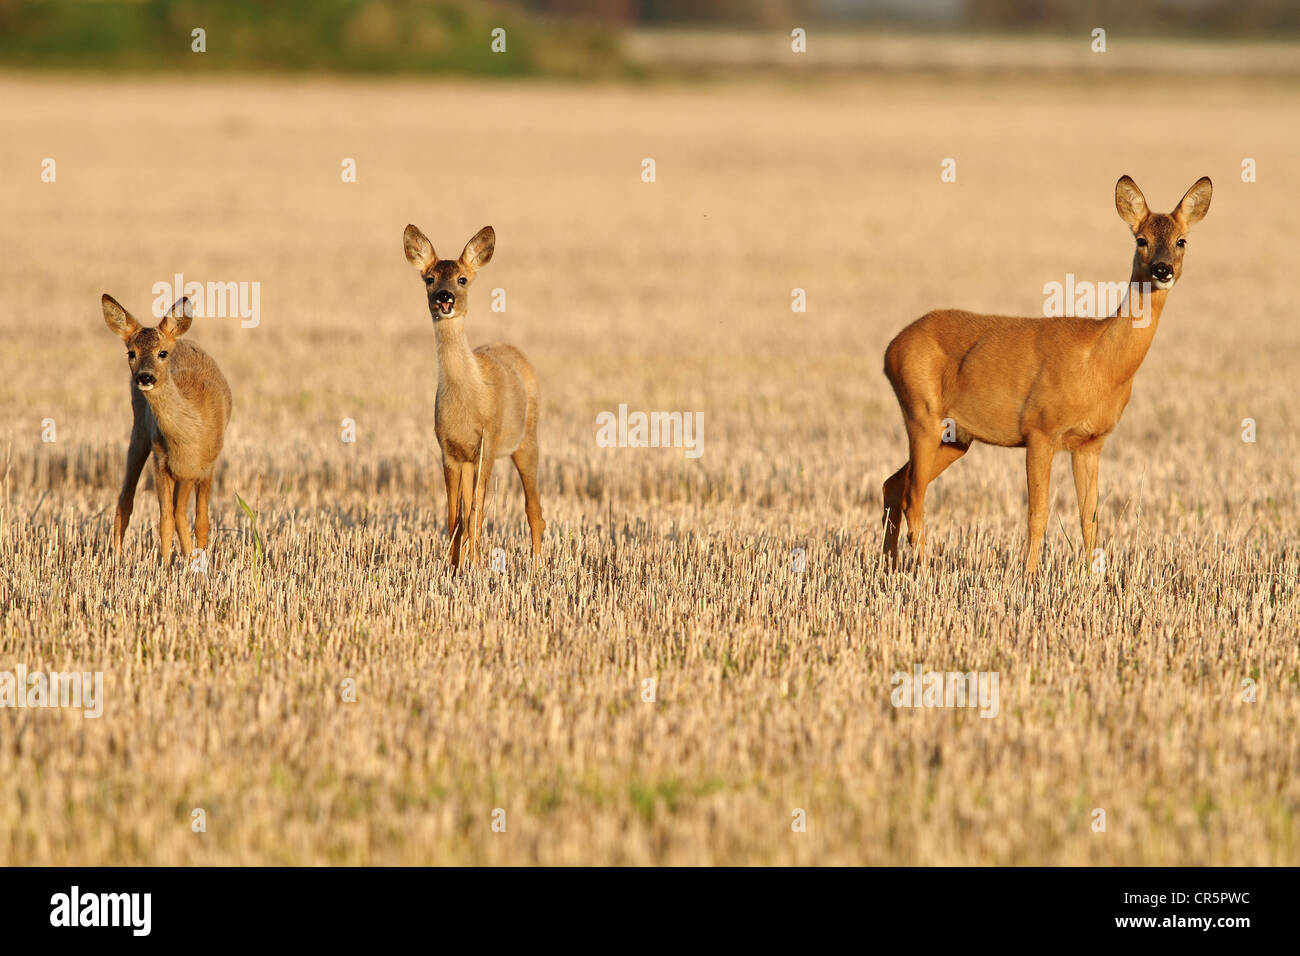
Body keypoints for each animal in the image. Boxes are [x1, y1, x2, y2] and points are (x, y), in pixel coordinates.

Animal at [104, 291, 233, 561]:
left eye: (162, 353)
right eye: (131, 352)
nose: (145, 377)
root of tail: (182, 340)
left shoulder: (203, 466)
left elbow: (199, 521)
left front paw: (196, 560)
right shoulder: (162, 461)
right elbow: (166, 521)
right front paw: (165, 565)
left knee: (183, 513)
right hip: (139, 432)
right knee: (126, 500)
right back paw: (118, 559)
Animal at [405, 223, 548, 567]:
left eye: (462, 279)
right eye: (429, 278)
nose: (444, 297)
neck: (467, 400)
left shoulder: (488, 442)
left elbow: (476, 513)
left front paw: (477, 566)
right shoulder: (449, 450)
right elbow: (454, 517)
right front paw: (455, 566)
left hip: (527, 439)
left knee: (534, 510)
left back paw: (537, 565)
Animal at [878, 175, 1211, 574]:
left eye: (1182, 240)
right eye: (1141, 239)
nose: (1163, 270)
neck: (1100, 364)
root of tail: (890, 349)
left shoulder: (1090, 443)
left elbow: (1090, 518)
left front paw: (1092, 580)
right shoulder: (1040, 429)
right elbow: (1037, 514)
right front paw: (1029, 578)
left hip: (956, 436)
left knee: (893, 485)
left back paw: (888, 567)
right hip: (921, 413)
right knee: (913, 497)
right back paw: (922, 571)